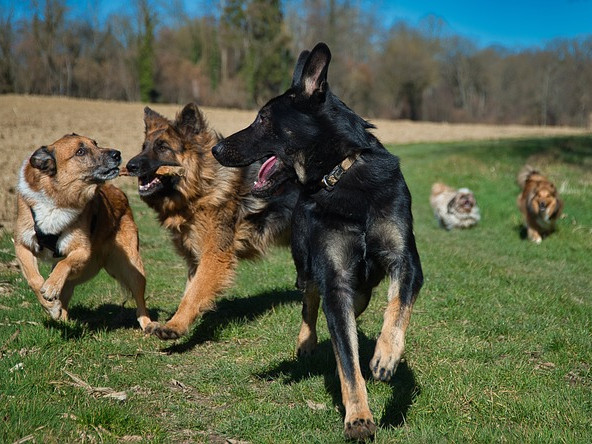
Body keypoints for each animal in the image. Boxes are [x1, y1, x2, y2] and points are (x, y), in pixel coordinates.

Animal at [15, 134, 153, 332]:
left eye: (95, 143)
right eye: (80, 151)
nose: (117, 154)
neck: (58, 198)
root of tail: (119, 192)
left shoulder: (82, 251)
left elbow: (64, 264)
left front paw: (51, 288)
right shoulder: (22, 246)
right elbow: (34, 279)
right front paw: (50, 305)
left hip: (131, 267)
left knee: (139, 297)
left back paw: (147, 323)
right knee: (64, 291)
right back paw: (62, 316)